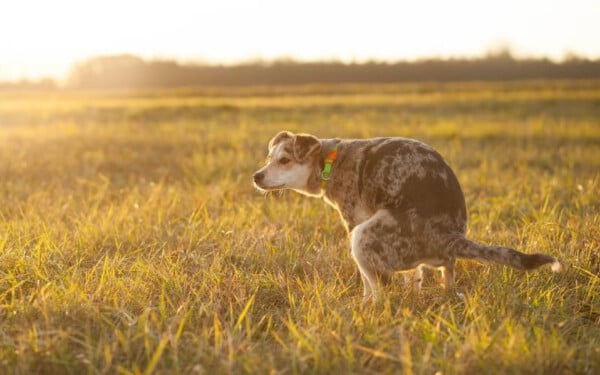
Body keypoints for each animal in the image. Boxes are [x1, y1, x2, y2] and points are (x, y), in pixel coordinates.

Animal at [251, 131, 560, 302]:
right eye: (268, 158)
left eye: (284, 160)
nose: (256, 176)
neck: (329, 160)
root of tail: (449, 236)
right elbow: (415, 277)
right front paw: (414, 292)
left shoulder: (354, 221)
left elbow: (368, 283)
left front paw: (364, 305)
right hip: (438, 260)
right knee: (447, 277)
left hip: (363, 236)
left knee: (381, 289)